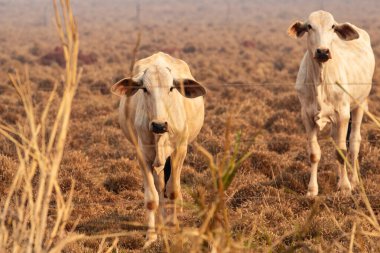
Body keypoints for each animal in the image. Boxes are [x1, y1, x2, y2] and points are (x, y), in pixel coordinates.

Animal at [111, 52, 206, 244]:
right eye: (145, 89)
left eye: (171, 88)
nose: (159, 125)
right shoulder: (143, 155)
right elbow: (152, 196)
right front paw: (151, 235)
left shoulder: (180, 151)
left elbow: (173, 190)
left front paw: (174, 227)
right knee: (160, 185)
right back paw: (161, 224)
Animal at [288, 10, 374, 197]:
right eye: (309, 26)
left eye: (332, 26)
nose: (322, 51)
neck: (321, 80)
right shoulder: (307, 116)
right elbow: (314, 153)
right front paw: (312, 190)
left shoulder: (342, 115)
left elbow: (341, 152)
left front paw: (345, 187)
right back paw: (339, 177)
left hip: (360, 104)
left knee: (354, 143)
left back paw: (354, 180)